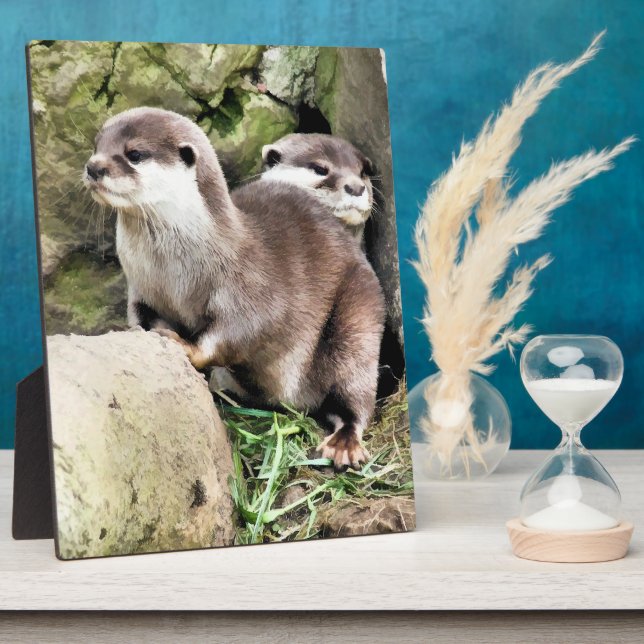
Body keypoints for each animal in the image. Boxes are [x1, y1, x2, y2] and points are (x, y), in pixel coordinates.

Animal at [83, 107, 385, 470]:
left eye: (135, 154)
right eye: (97, 145)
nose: (94, 166)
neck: (174, 272)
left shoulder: (251, 285)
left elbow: (243, 330)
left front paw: (186, 347)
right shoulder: (141, 291)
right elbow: (140, 318)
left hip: (358, 315)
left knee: (355, 389)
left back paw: (344, 442)